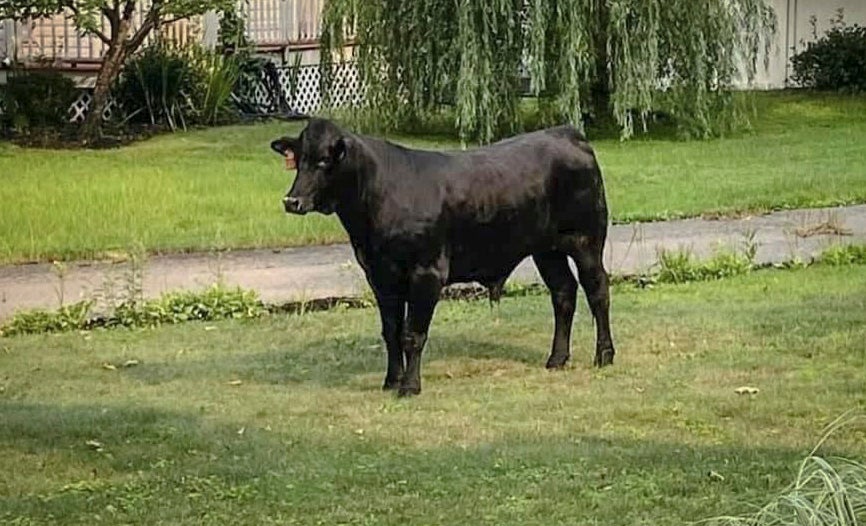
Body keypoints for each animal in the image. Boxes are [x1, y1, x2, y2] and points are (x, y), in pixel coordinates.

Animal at [270, 118, 615, 396]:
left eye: (324, 161)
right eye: (299, 159)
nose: (292, 201)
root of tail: (566, 133)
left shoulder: (426, 272)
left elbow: (413, 333)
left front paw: (410, 386)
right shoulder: (380, 275)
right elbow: (391, 332)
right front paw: (391, 381)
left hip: (586, 239)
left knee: (597, 290)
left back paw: (604, 355)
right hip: (546, 250)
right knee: (563, 293)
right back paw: (557, 358)